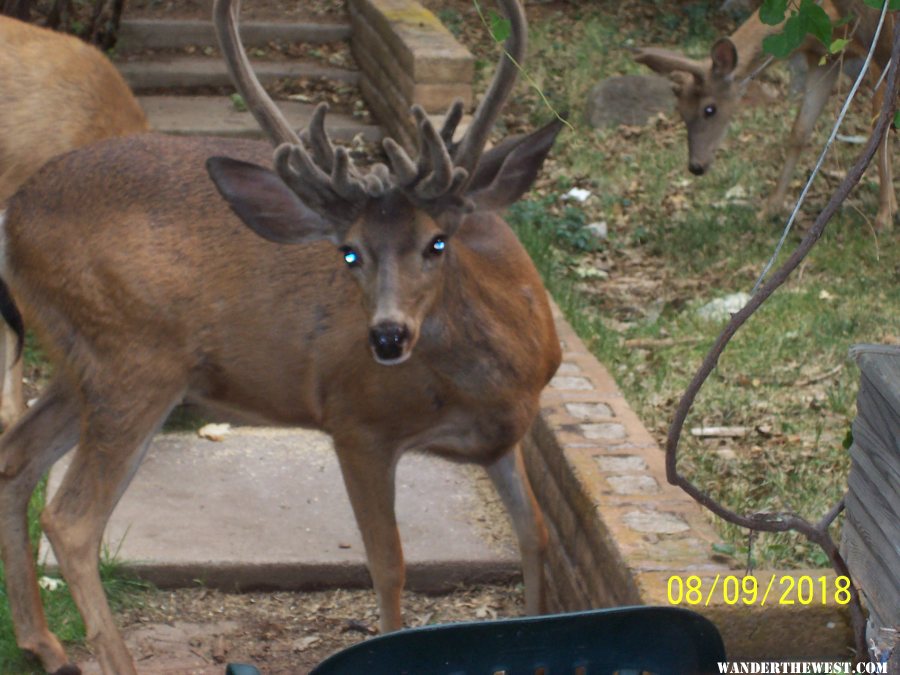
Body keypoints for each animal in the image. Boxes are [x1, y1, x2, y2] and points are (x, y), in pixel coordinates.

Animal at [636, 0, 896, 232]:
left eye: (710, 109)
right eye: (681, 110)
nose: (695, 166)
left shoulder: (880, 53)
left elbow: (880, 128)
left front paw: (886, 214)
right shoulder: (824, 59)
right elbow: (799, 132)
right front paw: (769, 209)